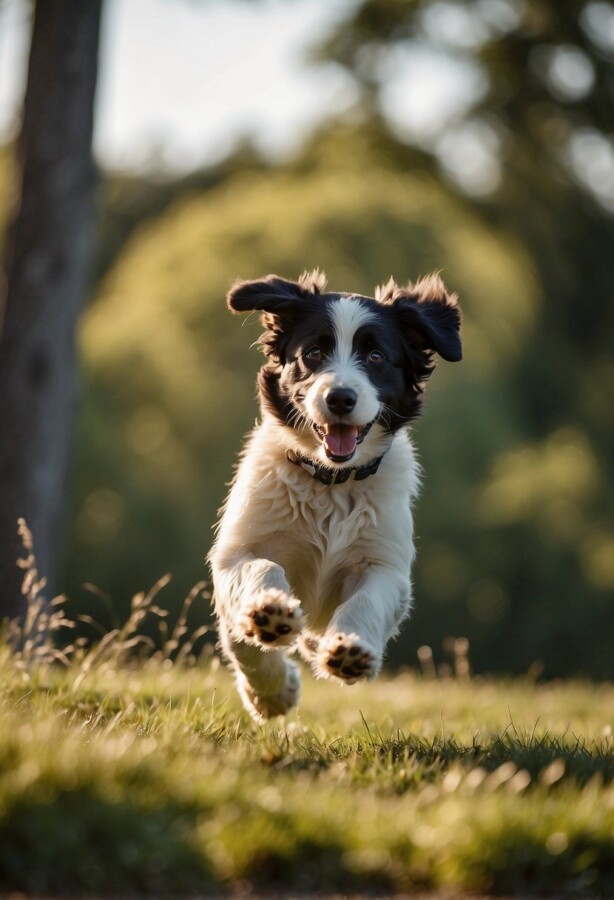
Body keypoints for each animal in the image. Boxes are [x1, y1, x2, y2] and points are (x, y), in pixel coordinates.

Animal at [208, 270, 462, 720]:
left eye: (376, 357)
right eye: (312, 353)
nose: (340, 398)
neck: (331, 481)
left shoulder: (385, 565)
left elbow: (366, 602)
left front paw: (350, 650)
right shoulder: (236, 551)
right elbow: (260, 572)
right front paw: (270, 618)